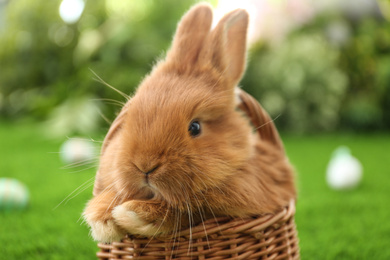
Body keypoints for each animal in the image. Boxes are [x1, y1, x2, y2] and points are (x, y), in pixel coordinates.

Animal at [83, 2, 296, 244]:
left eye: (195, 127)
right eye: (128, 119)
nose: (144, 165)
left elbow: (186, 212)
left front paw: (131, 214)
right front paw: (102, 218)